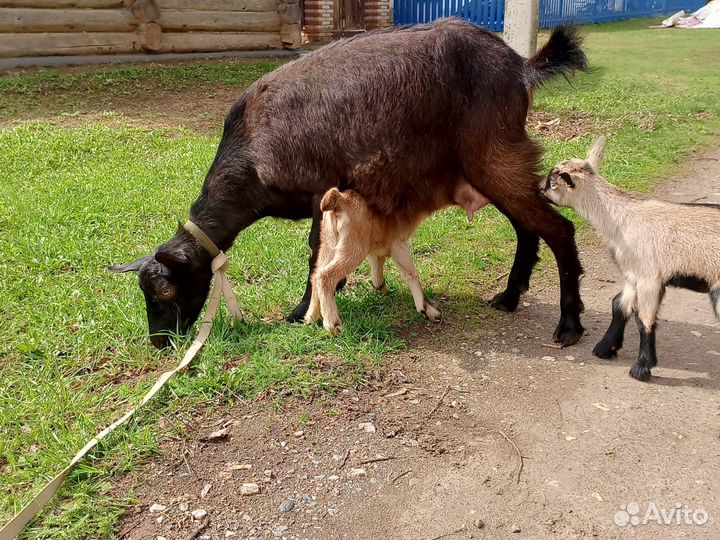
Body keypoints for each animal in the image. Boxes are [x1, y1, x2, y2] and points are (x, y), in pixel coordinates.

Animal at [306, 183, 490, 332]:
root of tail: (338, 199)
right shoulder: (398, 244)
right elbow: (411, 273)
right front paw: (428, 310)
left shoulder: (378, 245)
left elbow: (378, 263)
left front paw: (381, 288)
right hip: (352, 248)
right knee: (325, 275)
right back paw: (332, 324)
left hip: (328, 244)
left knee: (315, 274)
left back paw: (311, 317)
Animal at [543, 136, 720, 381]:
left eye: (552, 182)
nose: (538, 189)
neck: (622, 219)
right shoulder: (633, 274)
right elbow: (619, 305)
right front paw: (605, 348)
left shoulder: (650, 276)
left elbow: (644, 320)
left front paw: (641, 368)